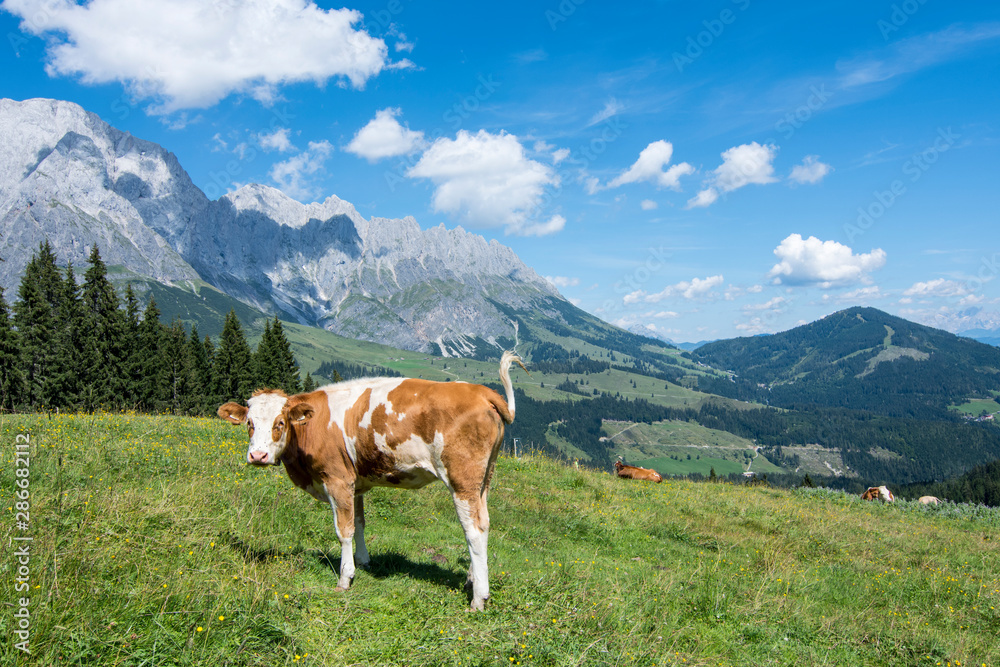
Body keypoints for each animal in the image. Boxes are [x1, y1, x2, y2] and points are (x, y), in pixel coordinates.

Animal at [218, 352, 528, 612]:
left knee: (473, 529)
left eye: (280, 422)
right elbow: (359, 523)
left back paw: (479, 598)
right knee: (484, 523)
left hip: (463, 478)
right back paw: (472, 579)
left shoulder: (338, 479)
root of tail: (482, 392)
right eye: (249, 424)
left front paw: (345, 578)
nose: (258, 456)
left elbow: (343, 530)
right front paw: (364, 561)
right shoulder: (356, 484)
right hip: (484, 479)